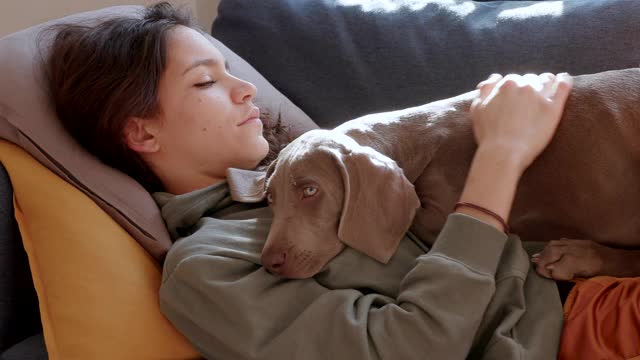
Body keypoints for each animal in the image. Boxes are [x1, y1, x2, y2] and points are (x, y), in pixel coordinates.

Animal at [256, 69, 640, 280]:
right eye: (271, 197)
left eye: (310, 191)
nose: (269, 262)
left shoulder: (441, 214)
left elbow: (416, 218)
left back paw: (573, 256)